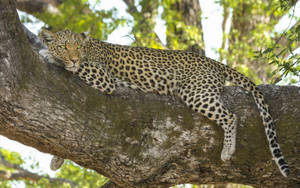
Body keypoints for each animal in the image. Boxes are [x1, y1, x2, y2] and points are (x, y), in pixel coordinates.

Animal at [40, 29, 290, 176]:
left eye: (78, 48)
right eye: (64, 46)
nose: (73, 57)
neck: (90, 47)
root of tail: (213, 62)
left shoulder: (103, 77)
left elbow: (79, 67)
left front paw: (47, 55)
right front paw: (56, 160)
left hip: (195, 92)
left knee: (230, 116)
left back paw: (228, 150)